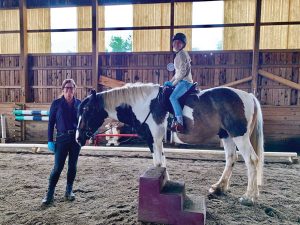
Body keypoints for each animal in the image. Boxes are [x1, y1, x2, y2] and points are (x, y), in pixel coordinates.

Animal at [76, 82, 264, 206]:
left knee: (251, 160)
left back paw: (249, 197)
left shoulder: (153, 138)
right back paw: (219, 187)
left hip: (239, 135)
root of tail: (249, 95)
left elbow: (158, 162)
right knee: (231, 158)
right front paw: (165, 181)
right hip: (227, 135)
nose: (78, 137)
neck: (146, 105)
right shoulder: (157, 140)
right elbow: (163, 162)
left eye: (85, 110)